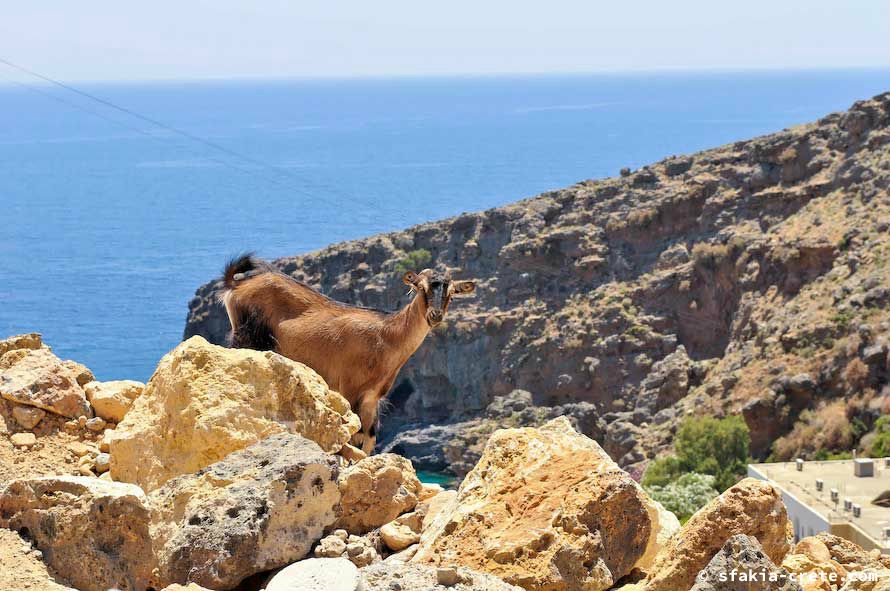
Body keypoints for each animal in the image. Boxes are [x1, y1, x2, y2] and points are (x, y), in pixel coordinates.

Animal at [219, 254, 476, 454]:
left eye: (452, 294)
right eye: (421, 288)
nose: (435, 315)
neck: (387, 336)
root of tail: (236, 285)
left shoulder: (372, 399)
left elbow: (370, 439)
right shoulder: (350, 389)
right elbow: (355, 435)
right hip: (245, 336)